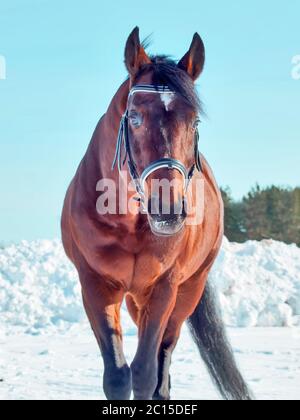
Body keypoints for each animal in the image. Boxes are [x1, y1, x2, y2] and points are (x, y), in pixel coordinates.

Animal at [61, 26, 251, 400]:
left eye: (194, 121)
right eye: (134, 117)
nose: (168, 211)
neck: (126, 223)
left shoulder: (165, 287)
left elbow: (146, 372)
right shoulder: (95, 285)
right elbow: (118, 376)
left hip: (187, 291)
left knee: (164, 357)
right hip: (136, 299)